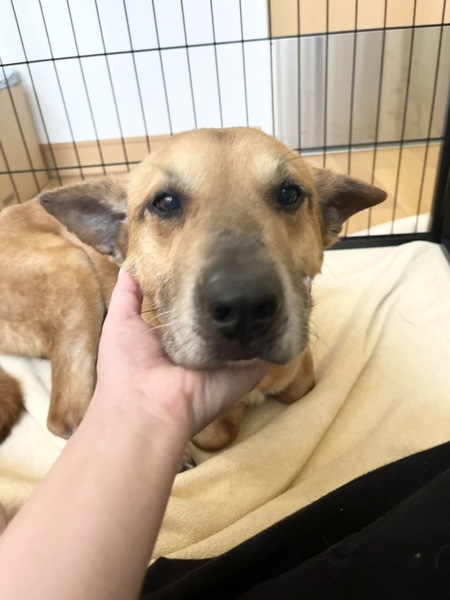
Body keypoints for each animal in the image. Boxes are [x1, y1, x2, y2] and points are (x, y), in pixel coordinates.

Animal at [0, 127, 386, 453]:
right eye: (165, 202)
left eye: (289, 194)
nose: (244, 307)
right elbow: (217, 433)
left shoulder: (300, 370)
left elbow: (300, 386)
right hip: (73, 273)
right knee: (68, 417)